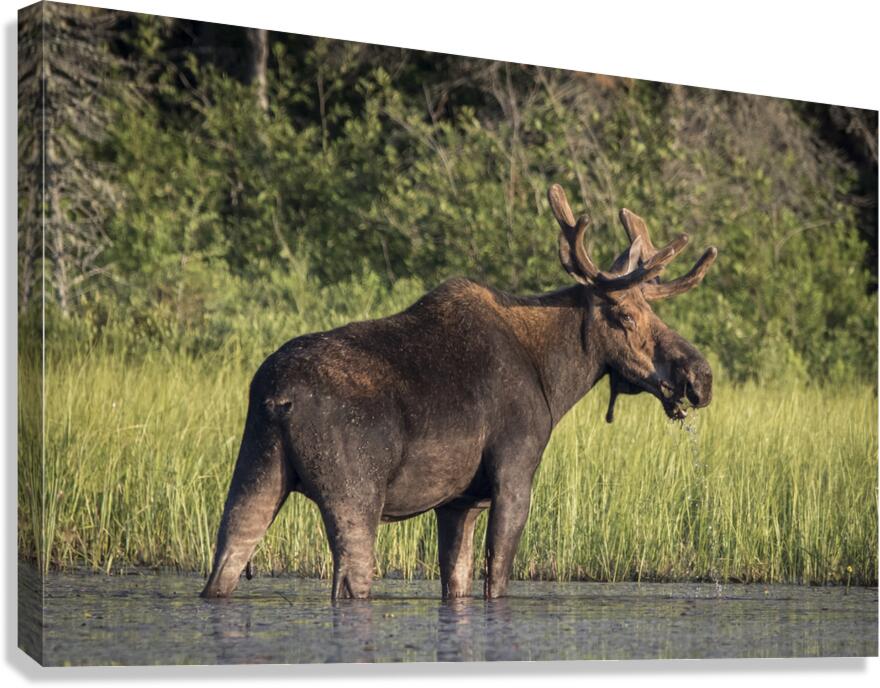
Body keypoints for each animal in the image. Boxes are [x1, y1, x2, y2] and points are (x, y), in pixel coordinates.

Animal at [201, 183, 717, 601]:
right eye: (626, 315)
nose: (700, 376)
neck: (555, 378)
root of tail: (278, 399)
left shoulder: (458, 501)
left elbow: (457, 582)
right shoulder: (514, 473)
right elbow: (497, 580)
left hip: (256, 473)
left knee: (224, 566)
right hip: (355, 494)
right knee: (350, 581)